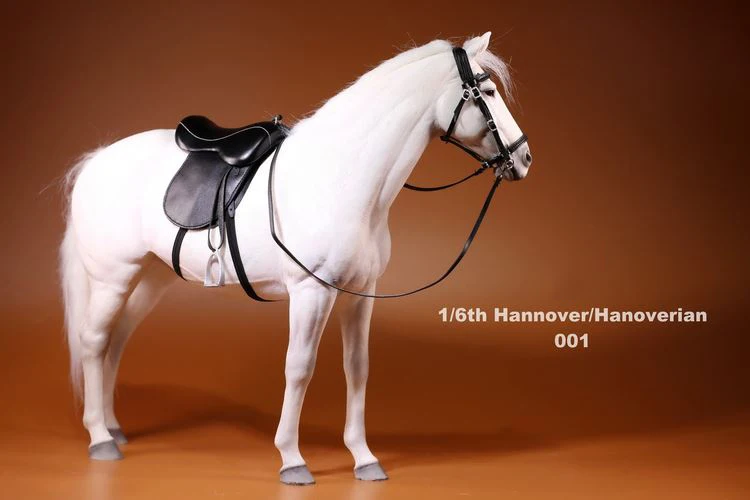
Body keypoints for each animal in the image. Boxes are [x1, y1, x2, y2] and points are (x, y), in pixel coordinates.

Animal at [59, 32, 532, 485]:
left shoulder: (360, 293)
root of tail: (96, 160)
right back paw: (100, 437)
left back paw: (113, 426)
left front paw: (363, 457)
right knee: (94, 340)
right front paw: (291, 459)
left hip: (152, 277)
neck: (341, 176)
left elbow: (357, 367)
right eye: (488, 91)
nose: (524, 157)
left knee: (117, 339)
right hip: (113, 278)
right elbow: (299, 368)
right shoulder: (311, 292)